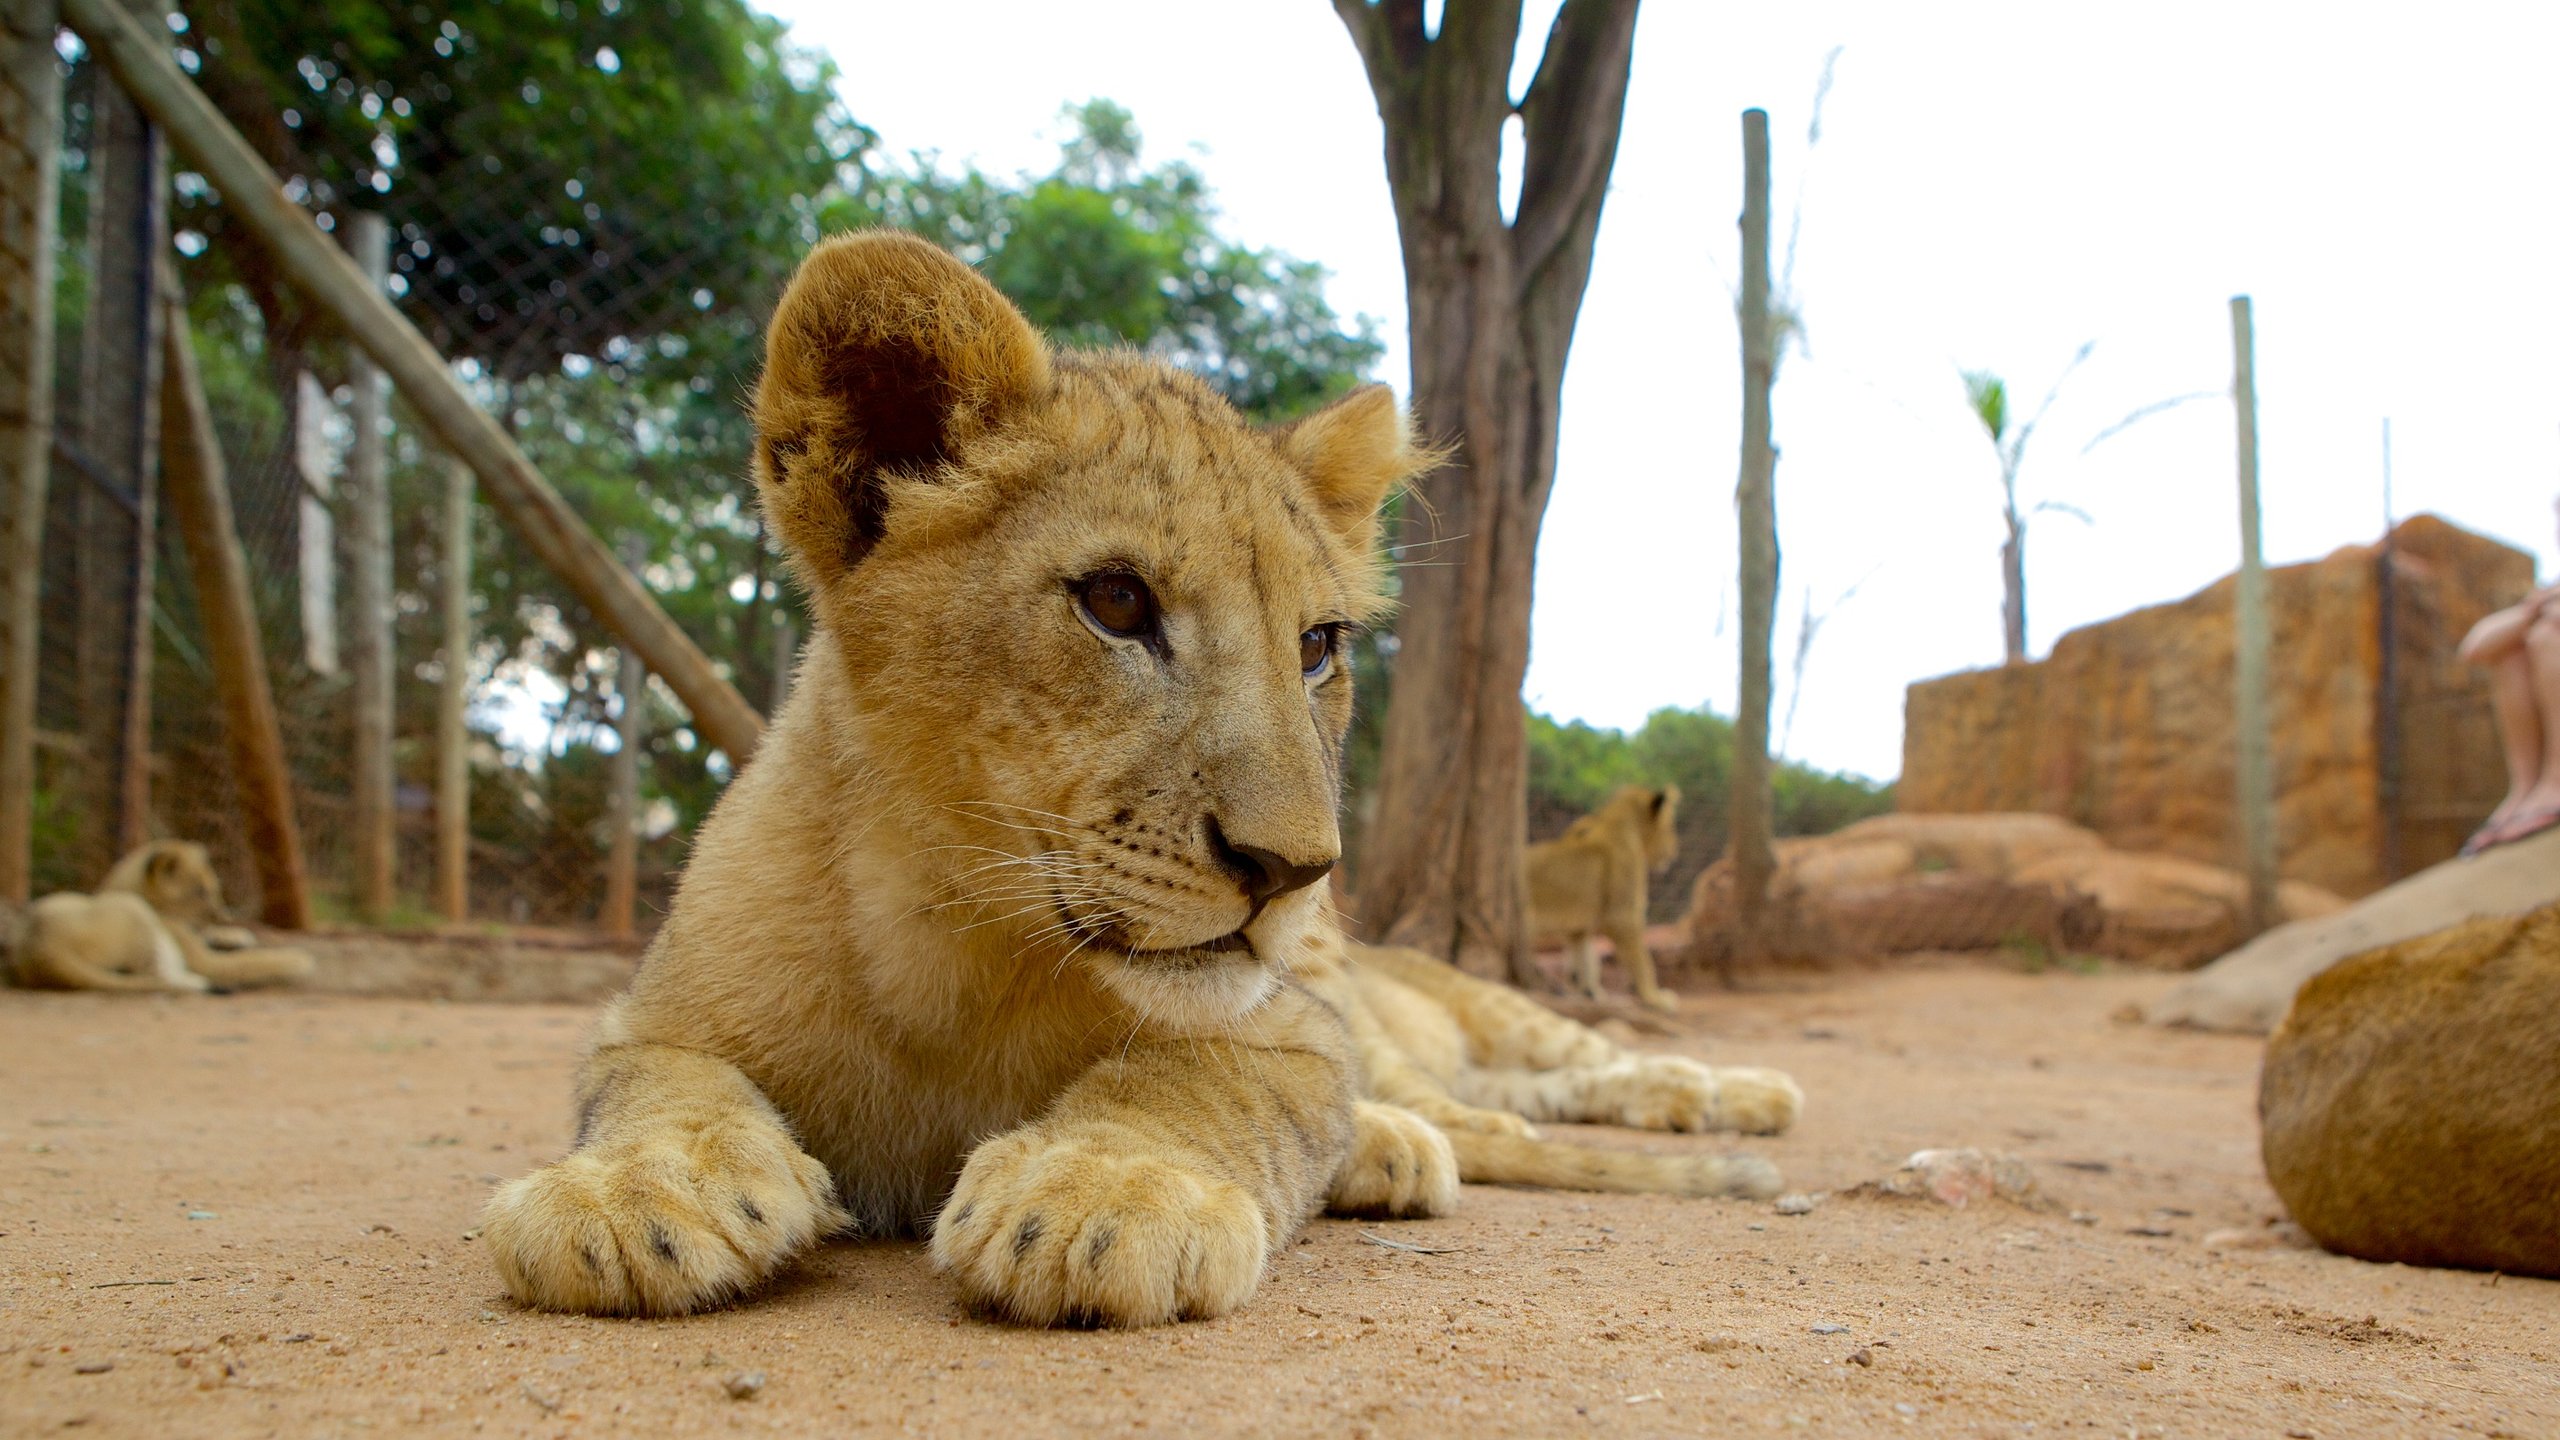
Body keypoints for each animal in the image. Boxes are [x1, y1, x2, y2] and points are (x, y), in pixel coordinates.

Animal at [10, 835, 314, 994]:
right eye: (200, 892)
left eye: (213, 887)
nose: (223, 916)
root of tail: (41, 950)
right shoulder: (205, 959)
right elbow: (253, 961)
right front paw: (299, 959)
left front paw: (235, 935)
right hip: (132, 911)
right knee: (158, 976)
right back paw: (202, 984)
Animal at [1525, 784, 1689, 1009]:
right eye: (1670, 827)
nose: (1674, 851)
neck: (1617, 826)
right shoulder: (1622, 916)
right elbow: (1642, 961)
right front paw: (1655, 998)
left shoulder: (1579, 927)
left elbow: (1585, 957)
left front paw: (1591, 992)